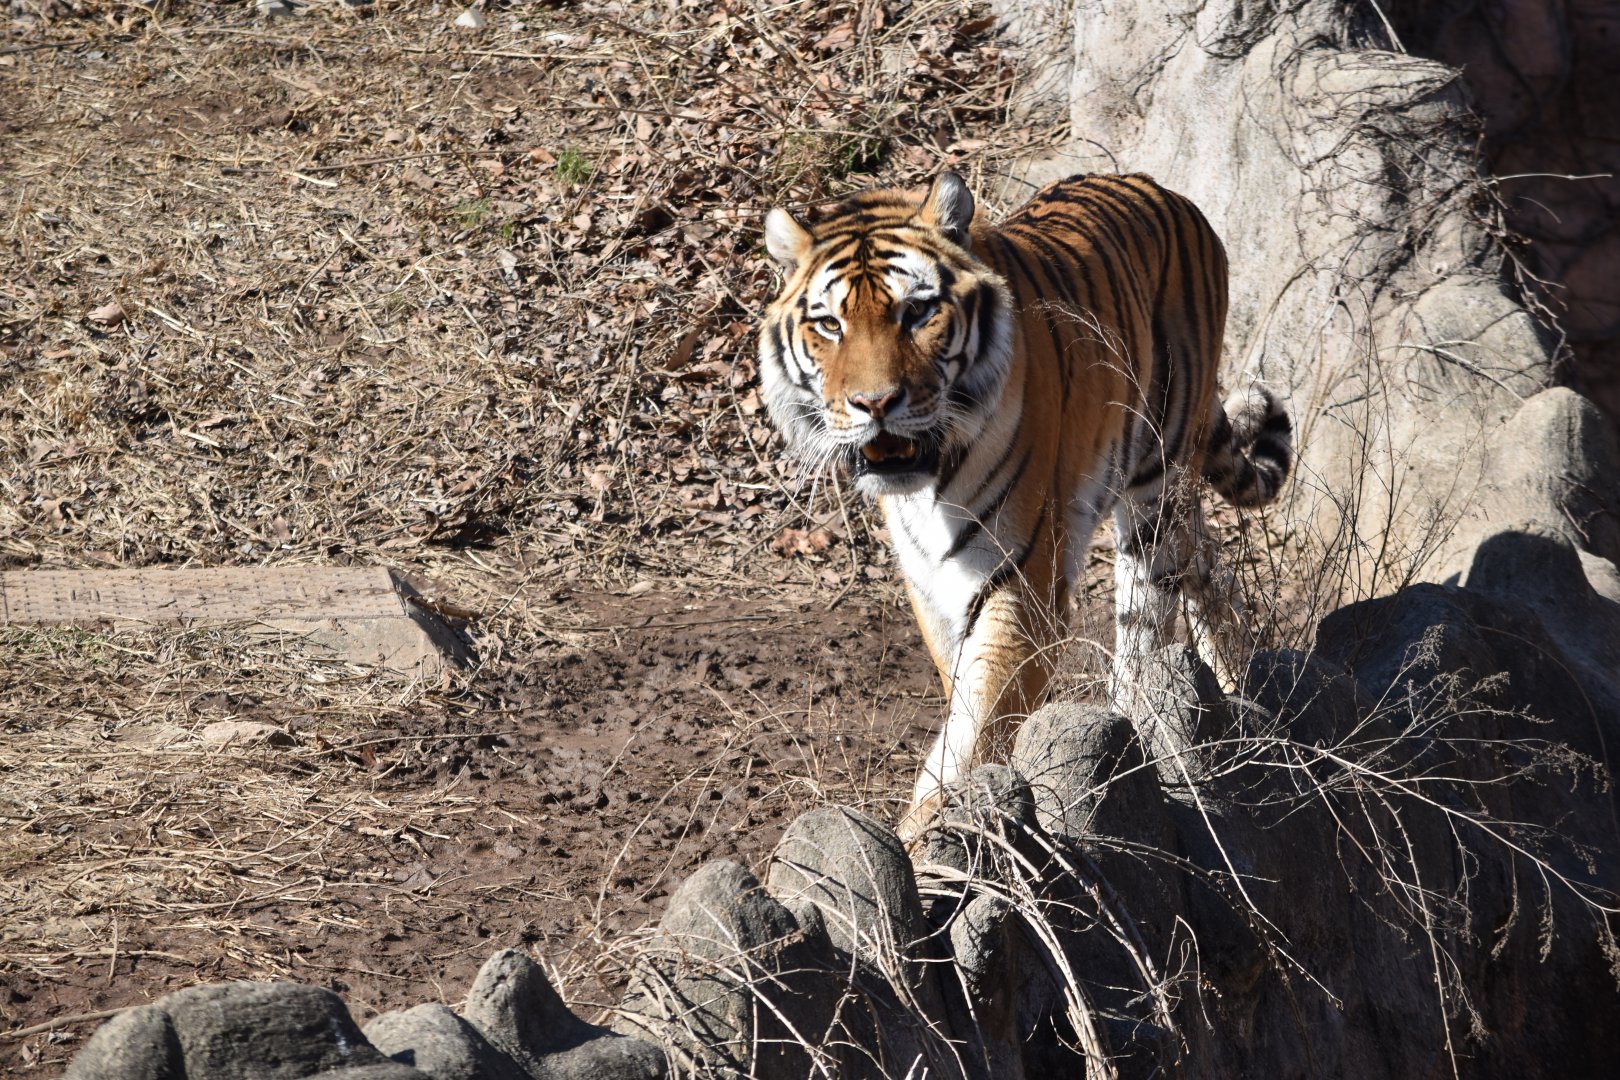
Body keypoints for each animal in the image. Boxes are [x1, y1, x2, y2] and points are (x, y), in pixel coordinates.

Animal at [756, 172, 1293, 839]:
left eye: (918, 311)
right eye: (830, 325)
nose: (874, 403)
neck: (928, 484)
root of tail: (1164, 190)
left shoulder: (1022, 584)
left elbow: (975, 728)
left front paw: (927, 844)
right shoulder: (930, 583)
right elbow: (962, 701)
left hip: (1158, 480)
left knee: (1146, 621)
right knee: (1208, 560)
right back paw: (1230, 674)